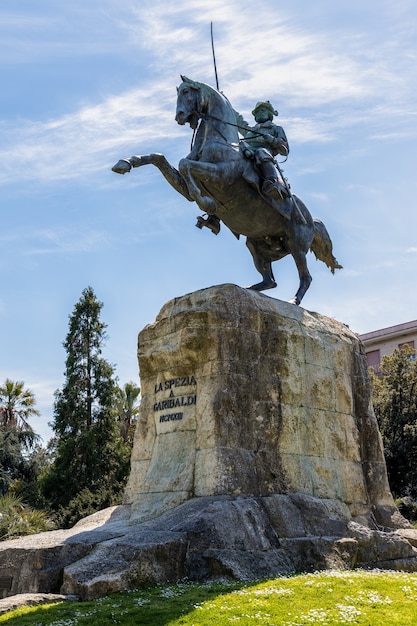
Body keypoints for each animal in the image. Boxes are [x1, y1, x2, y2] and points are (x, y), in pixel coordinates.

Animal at [112, 75, 340, 304]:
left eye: (186, 91)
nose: (179, 116)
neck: (217, 140)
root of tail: (311, 219)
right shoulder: (185, 184)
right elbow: (160, 158)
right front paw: (126, 163)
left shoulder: (222, 175)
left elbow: (186, 164)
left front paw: (207, 203)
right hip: (257, 244)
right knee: (270, 281)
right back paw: (247, 290)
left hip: (296, 244)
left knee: (306, 276)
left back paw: (293, 300)